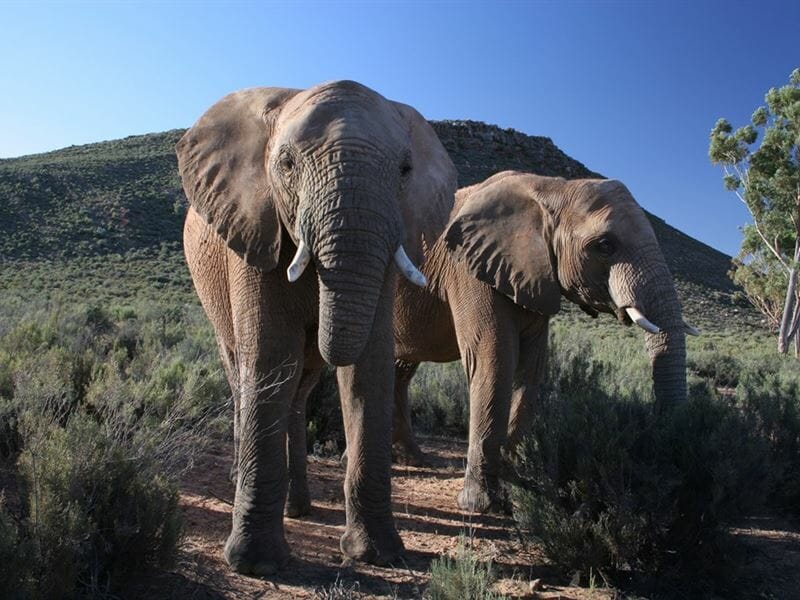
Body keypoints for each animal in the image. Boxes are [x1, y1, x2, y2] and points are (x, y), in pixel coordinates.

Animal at [178, 80, 457, 574]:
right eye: (287, 164)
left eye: (405, 170)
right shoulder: (255, 228)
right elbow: (270, 356)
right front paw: (255, 564)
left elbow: (368, 368)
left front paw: (378, 555)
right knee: (243, 372)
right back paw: (243, 480)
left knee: (299, 390)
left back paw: (300, 507)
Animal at [289, 170, 696, 516]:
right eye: (605, 245)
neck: (553, 189)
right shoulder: (469, 268)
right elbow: (494, 360)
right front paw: (480, 506)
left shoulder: (535, 279)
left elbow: (531, 372)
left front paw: (515, 491)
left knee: (401, 371)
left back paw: (413, 460)